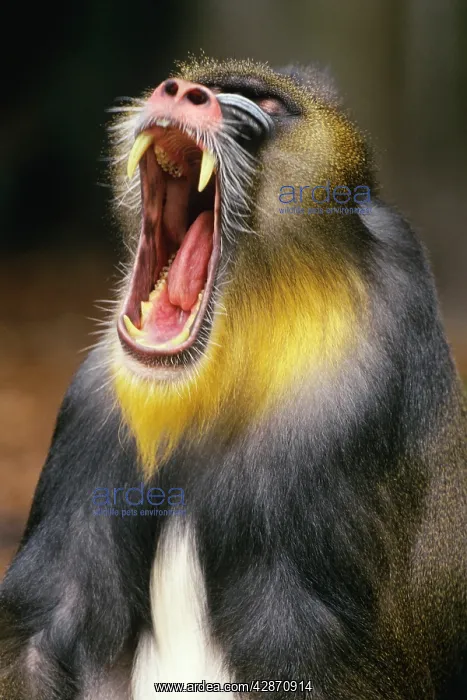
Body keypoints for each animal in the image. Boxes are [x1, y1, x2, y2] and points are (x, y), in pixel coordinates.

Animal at [0, 55, 466, 700]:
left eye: (263, 104)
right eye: (205, 86)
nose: (182, 93)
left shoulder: (359, 390)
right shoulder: (92, 409)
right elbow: (40, 641)